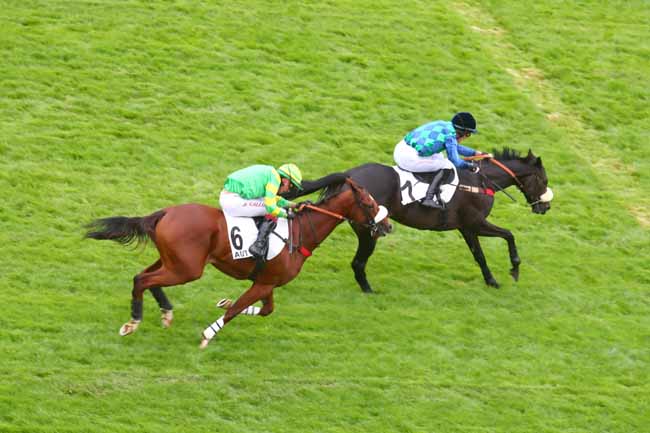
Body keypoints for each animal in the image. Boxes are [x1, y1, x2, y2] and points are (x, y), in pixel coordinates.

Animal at [85, 178, 390, 348]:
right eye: (370, 204)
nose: (387, 226)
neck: (301, 232)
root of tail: (165, 213)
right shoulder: (264, 283)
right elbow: (238, 311)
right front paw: (208, 335)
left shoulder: (266, 283)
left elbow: (263, 310)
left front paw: (225, 302)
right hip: (187, 269)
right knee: (142, 279)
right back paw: (133, 322)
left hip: (172, 262)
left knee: (144, 276)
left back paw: (165, 312)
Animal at [294, 148, 552, 290]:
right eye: (544, 180)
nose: (545, 207)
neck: (481, 181)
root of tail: (350, 175)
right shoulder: (475, 223)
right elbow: (509, 234)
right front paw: (515, 268)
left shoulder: (467, 228)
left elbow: (479, 256)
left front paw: (492, 281)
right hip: (369, 228)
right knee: (358, 262)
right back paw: (368, 290)